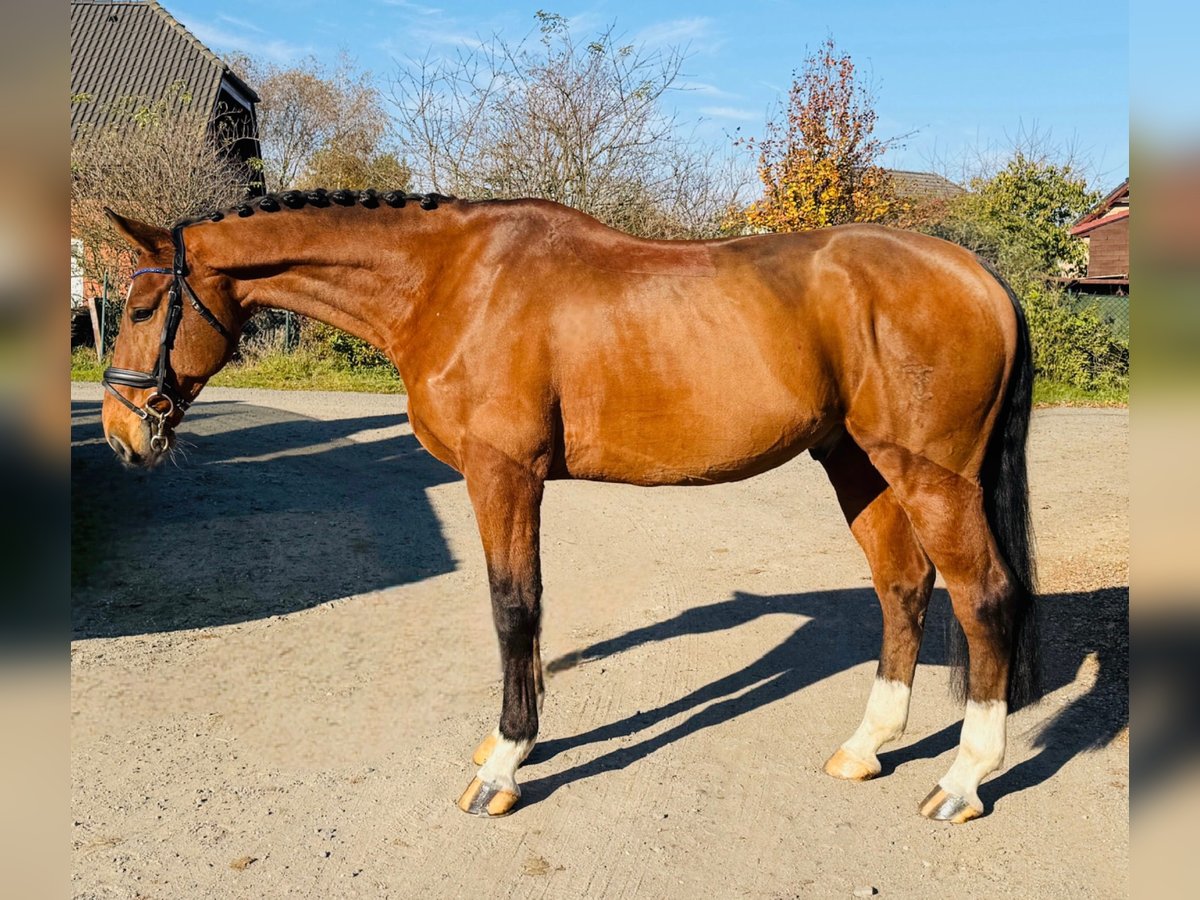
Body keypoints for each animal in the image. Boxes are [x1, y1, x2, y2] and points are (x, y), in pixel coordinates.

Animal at [100, 190, 1041, 825]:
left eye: (143, 306)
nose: (120, 435)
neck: (450, 283)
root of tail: (979, 275)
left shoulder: (502, 476)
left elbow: (513, 607)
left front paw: (504, 765)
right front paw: (507, 743)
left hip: (931, 474)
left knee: (985, 597)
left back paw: (963, 780)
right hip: (857, 462)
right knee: (904, 587)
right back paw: (865, 748)